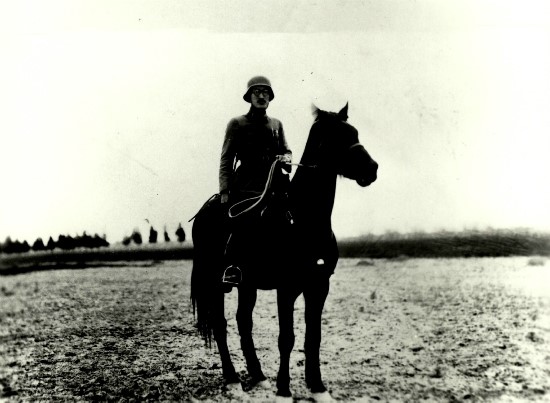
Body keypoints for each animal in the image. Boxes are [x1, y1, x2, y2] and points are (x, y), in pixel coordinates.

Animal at [191, 103, 380, 400]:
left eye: (354, 132)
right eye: (335, 136)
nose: (371, 169)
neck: (303, 219)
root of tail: (206, 210)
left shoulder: (319, 286)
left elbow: (313, 337)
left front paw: (317, 387)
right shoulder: (287, 289)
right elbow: (286, 338)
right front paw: (284, 389)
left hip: (247, 285)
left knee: (244, 322)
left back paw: (258, 376)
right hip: (214, 281)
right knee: (221, 326)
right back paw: (232, 379)